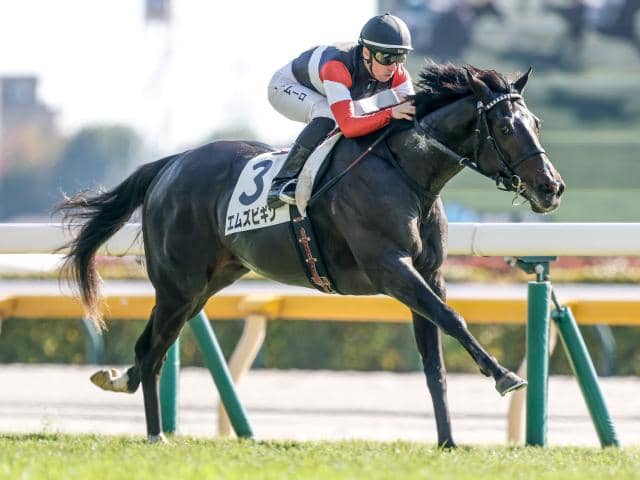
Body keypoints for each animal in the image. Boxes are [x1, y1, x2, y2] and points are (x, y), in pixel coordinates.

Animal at [57, 62, 565, 446]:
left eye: (537, 124)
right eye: (505, 126)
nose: (551, 187)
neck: (407, 172)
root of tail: (170, 165)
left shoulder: (428, 274)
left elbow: (434, 362)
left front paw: (448, 442)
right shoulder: (391, 269)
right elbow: (454, 319)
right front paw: (503, 375)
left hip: (207, 284)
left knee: (154, 348)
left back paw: (131, 396)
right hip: (178, 286)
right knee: (152, 349)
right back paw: (154, 432)